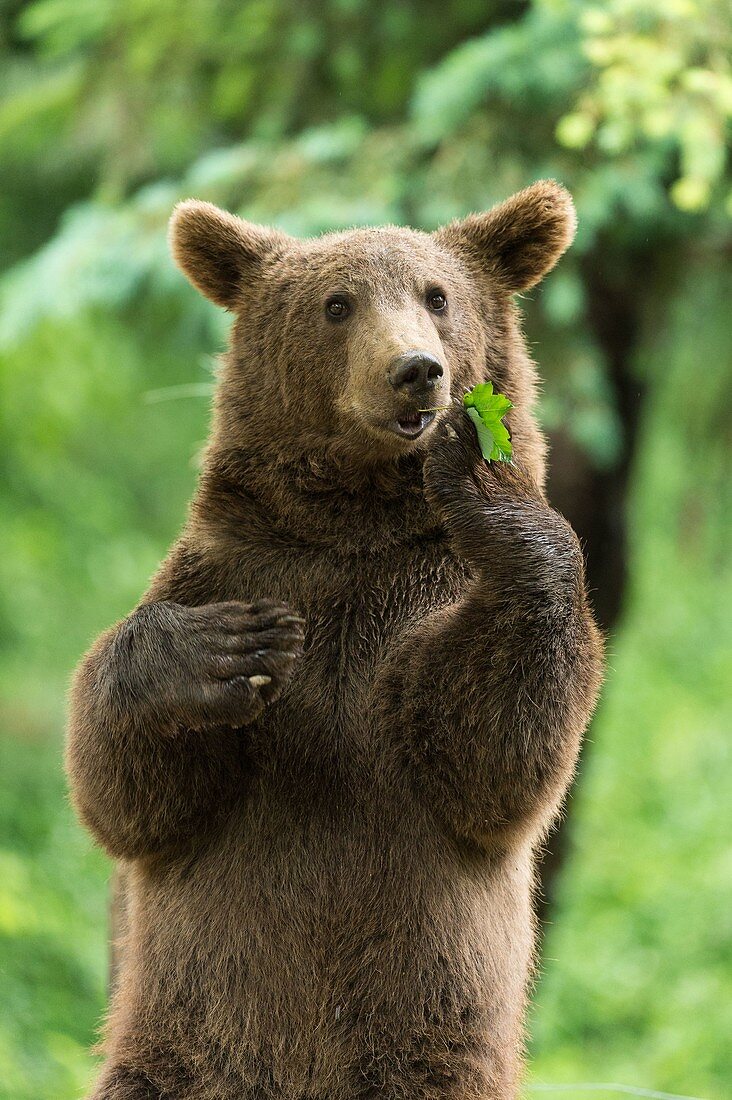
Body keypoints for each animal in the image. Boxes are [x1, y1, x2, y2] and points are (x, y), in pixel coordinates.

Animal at [67, 182, 603, 1100]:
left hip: (431, 1048)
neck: (355, 525)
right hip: (180, 1043)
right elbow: (132, 795)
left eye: (437, 295)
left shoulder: (424, 602)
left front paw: (477, 463)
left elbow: (490, 752)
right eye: (337, 304)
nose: (416, 370)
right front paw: (223, 649)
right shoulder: (237, 565)